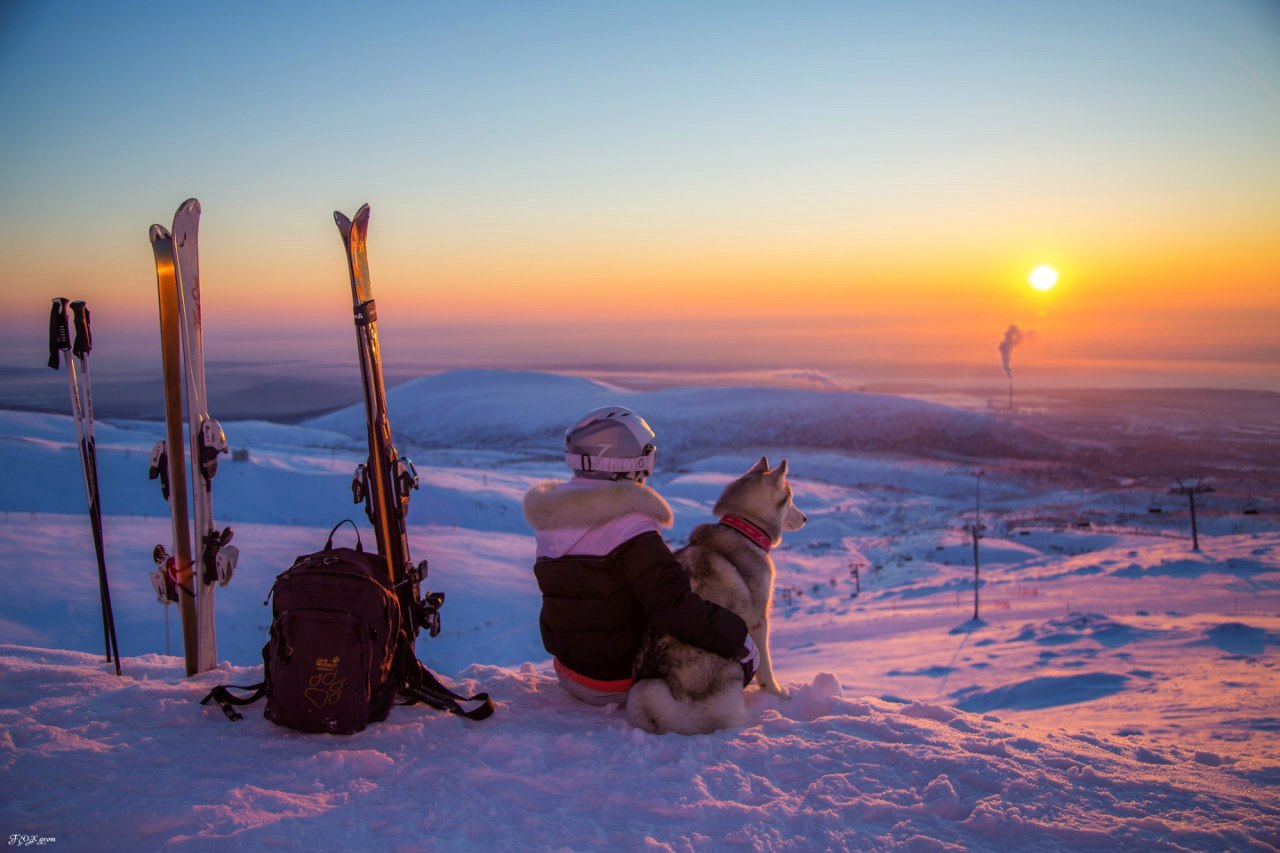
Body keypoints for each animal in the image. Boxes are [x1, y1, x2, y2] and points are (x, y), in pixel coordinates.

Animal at [624, 455, 803, 732]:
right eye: (791, 499)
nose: (805, 518)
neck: (744, 529)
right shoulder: (758, 620)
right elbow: (766, 662)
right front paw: (777, 692)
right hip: (734, 661)